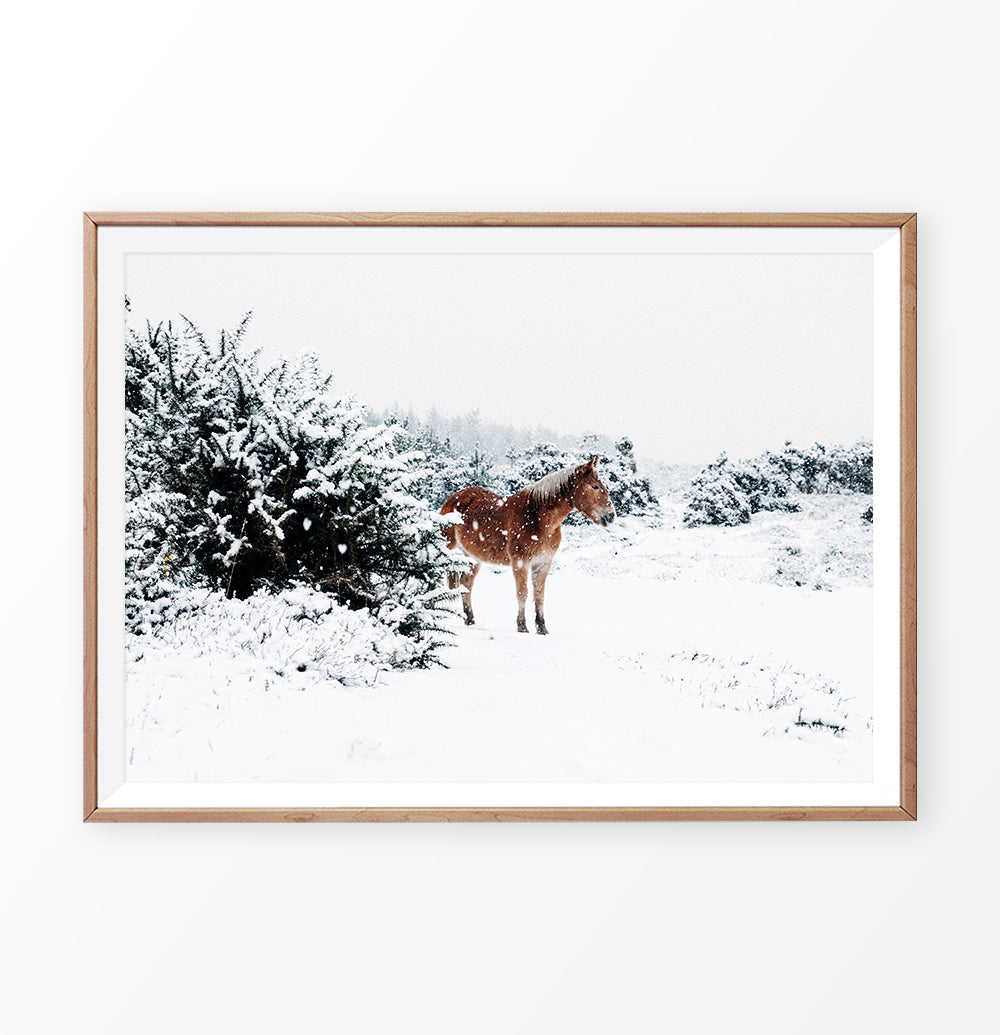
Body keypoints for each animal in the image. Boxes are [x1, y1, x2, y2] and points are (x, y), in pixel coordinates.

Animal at [440, 456, 616, 634]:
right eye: (594, 486)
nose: (611, 516)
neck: (537, 518)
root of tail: (453, 498)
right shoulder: (520, 562)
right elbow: (522, 593)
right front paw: (522, 626)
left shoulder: (543, 563)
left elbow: (539, 595)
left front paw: (542, 628)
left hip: (473, 558)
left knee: (466, 584)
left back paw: (469, 619)